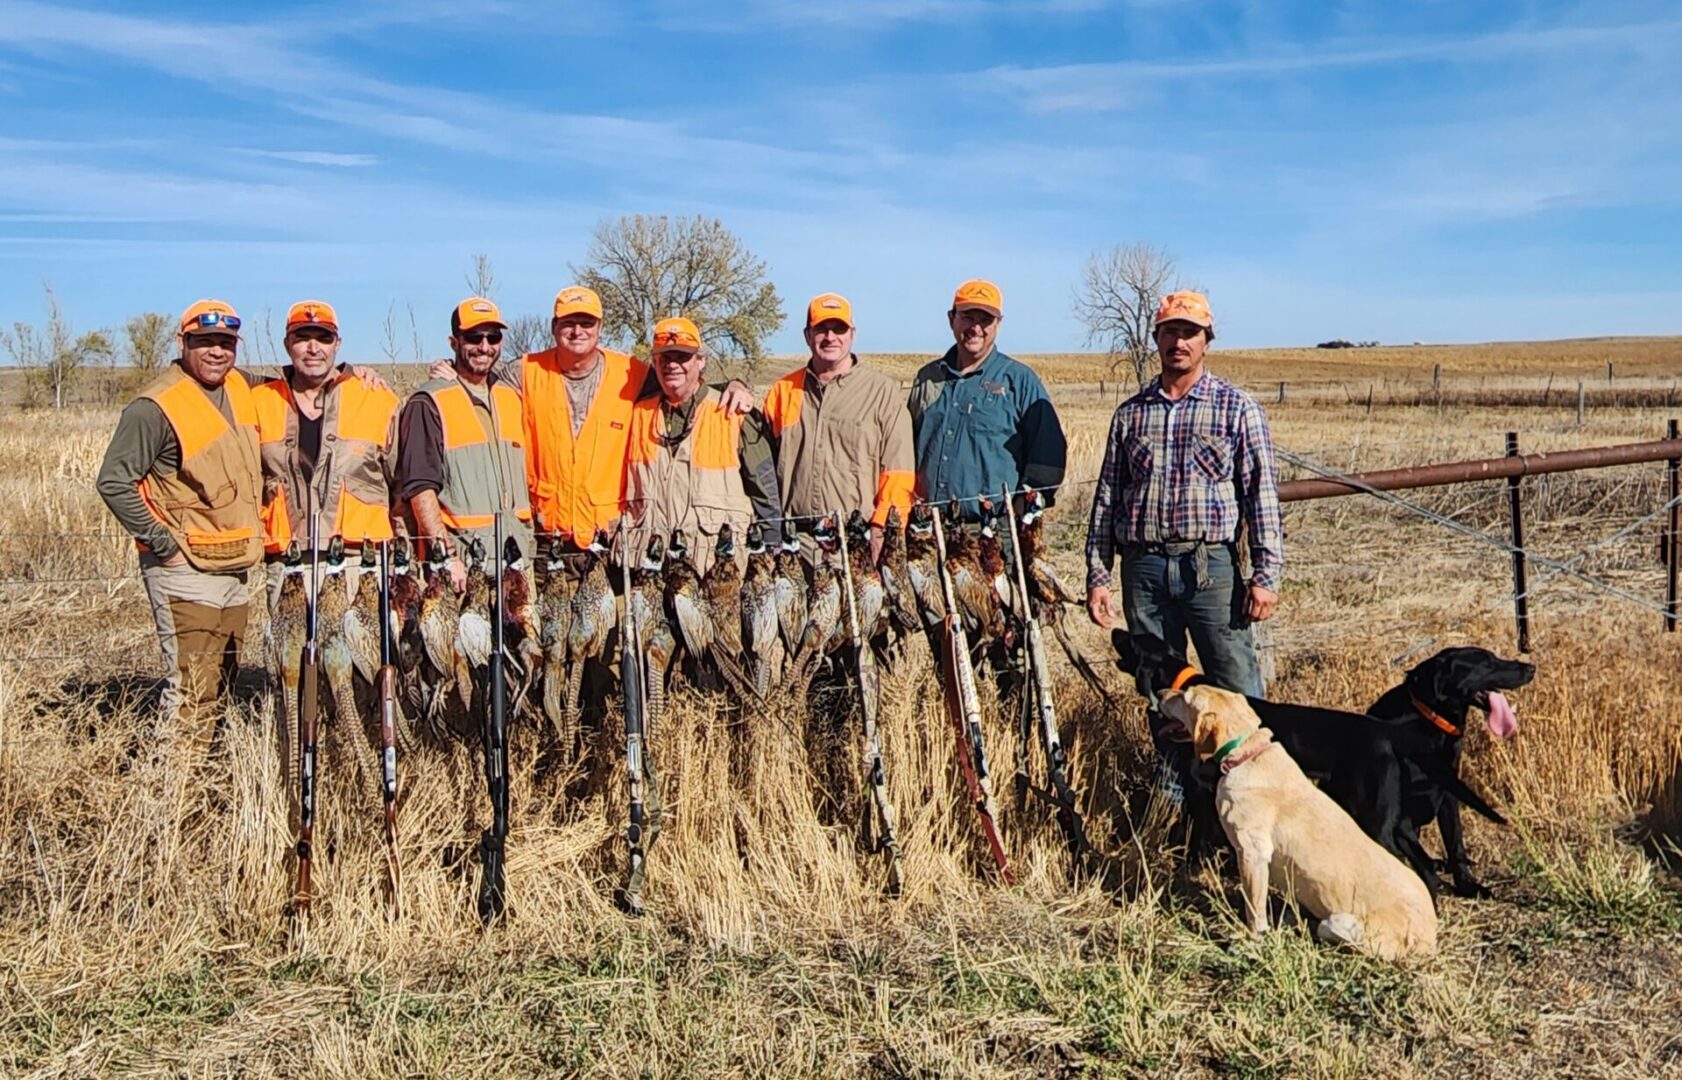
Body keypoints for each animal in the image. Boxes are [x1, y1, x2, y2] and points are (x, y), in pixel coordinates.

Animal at [1110, 625, 1520, 894]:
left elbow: (1196, 845)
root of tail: (1386, 732)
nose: (1114, 627)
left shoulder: (1200, 794)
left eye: (1130, 639)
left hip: (1377, 818)